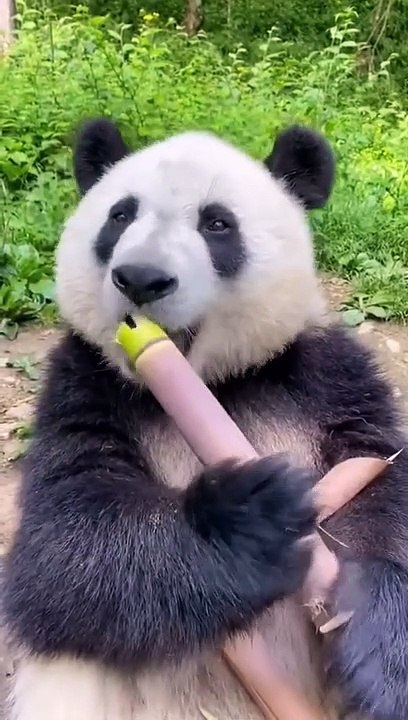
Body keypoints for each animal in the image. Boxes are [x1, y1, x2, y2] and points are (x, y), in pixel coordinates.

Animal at [3, 118, 408, 720]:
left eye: (217, 224)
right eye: (119, 216)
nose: (140, 278)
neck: (214, 385)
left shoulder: (326, 374)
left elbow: (382, 476)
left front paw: (378, 652)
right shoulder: (81, 388)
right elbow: (57, 553)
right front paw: (251, 516)